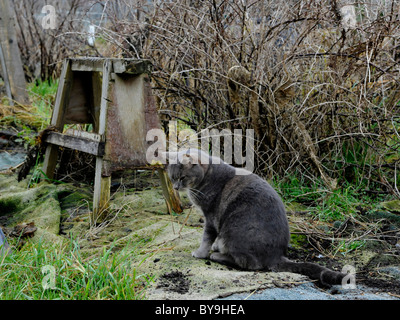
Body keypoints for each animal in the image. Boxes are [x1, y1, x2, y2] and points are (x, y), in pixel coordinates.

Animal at [166, 149, 346, 286]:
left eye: (182, 178)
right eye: (172, 178)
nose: (175, 187)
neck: (207, 176)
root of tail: (276, 255)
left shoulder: (211, 217)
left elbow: (206, 238)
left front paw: (200, 253)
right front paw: (215, 246)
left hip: (235, 228)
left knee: (249, 263)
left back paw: (217, 256)